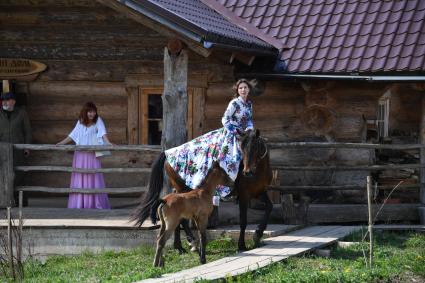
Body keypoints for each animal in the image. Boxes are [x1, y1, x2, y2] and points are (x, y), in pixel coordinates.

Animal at [132, 129, 272, 253]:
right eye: (241, 148)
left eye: (256, 147)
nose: (247, 172)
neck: (259, 171)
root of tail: (167, 153)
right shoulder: (244, 195)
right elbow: (243, 221)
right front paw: (241, 245)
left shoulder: (259, 192)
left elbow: (269, 207)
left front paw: (258, 233)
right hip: (183, 189)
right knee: (182, 219)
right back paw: (191, 243)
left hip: (182, 191)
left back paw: (180, 246)